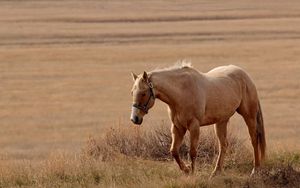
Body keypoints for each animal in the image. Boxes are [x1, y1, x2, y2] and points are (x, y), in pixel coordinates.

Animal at [130, 64, 266, 177]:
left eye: (143, 93)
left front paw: (192, 172)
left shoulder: (194, 126)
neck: (182, 92)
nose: (134, 118)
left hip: (249, 116)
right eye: (132, 92)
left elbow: (193, 152)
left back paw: (255, 170)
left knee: (254, 140)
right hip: (221, 121)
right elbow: (174, 151)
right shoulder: (177, 127)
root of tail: (245, 76)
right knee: (223, 144)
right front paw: (186, 170)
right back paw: (216, 171)